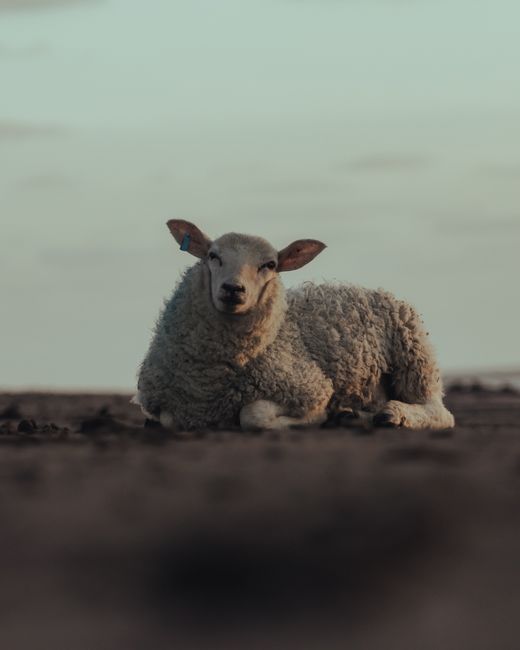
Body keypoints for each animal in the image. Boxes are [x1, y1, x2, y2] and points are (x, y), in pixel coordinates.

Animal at [134, 220, 455, 431]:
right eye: (213, 256)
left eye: (270, 265)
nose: (233, 289)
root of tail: (374, 288)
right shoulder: (170, 405)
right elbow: (165, 420)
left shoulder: (309, 387)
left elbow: (254, 415)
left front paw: (317, 418)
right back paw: (353, 415)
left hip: (413, 356)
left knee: (440, 412)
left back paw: (393, 415)